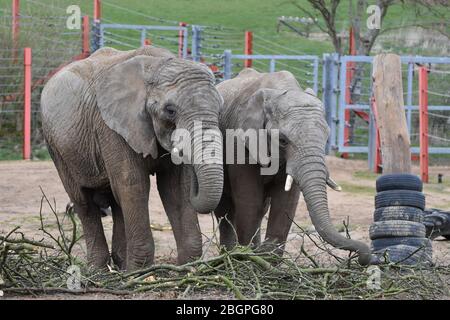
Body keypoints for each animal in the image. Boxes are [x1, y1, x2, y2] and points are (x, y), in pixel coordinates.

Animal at [41, 45, 224, 270]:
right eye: (170, 110)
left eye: (219, 109)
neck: (156, 66)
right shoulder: (111, 128)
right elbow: (134, 184)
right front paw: (141, 272)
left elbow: (175, 188)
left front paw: (186, 269)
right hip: (56, 146)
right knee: (84, 202)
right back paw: (99, 270)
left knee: (117, 202)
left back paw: (121, 266)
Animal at [213, 67, 370, 264]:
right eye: (282, 140)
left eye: (327, 137)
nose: (364, 258)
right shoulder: (238, 142)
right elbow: (249, 200)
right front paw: (249, 259)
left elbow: (286, 201)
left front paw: (266, 258)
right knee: (225, 209)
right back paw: (230, 256)